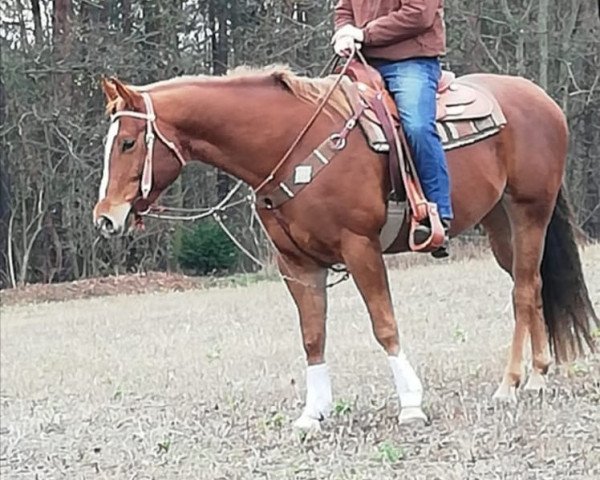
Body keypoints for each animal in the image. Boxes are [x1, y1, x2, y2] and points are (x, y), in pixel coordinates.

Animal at [92, 62, 596, 432]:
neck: (292, 146)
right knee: (531, 287)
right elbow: (313, 336)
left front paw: (411, 405)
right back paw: (538, 373)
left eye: (129, 142)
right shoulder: (296, 265)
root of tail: (539, 99)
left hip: (530, 211)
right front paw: (312, 413)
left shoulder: (360, 249)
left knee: (524, 291)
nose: (106, 217)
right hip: (499, 222)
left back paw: (513, 384)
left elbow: (385, 325)